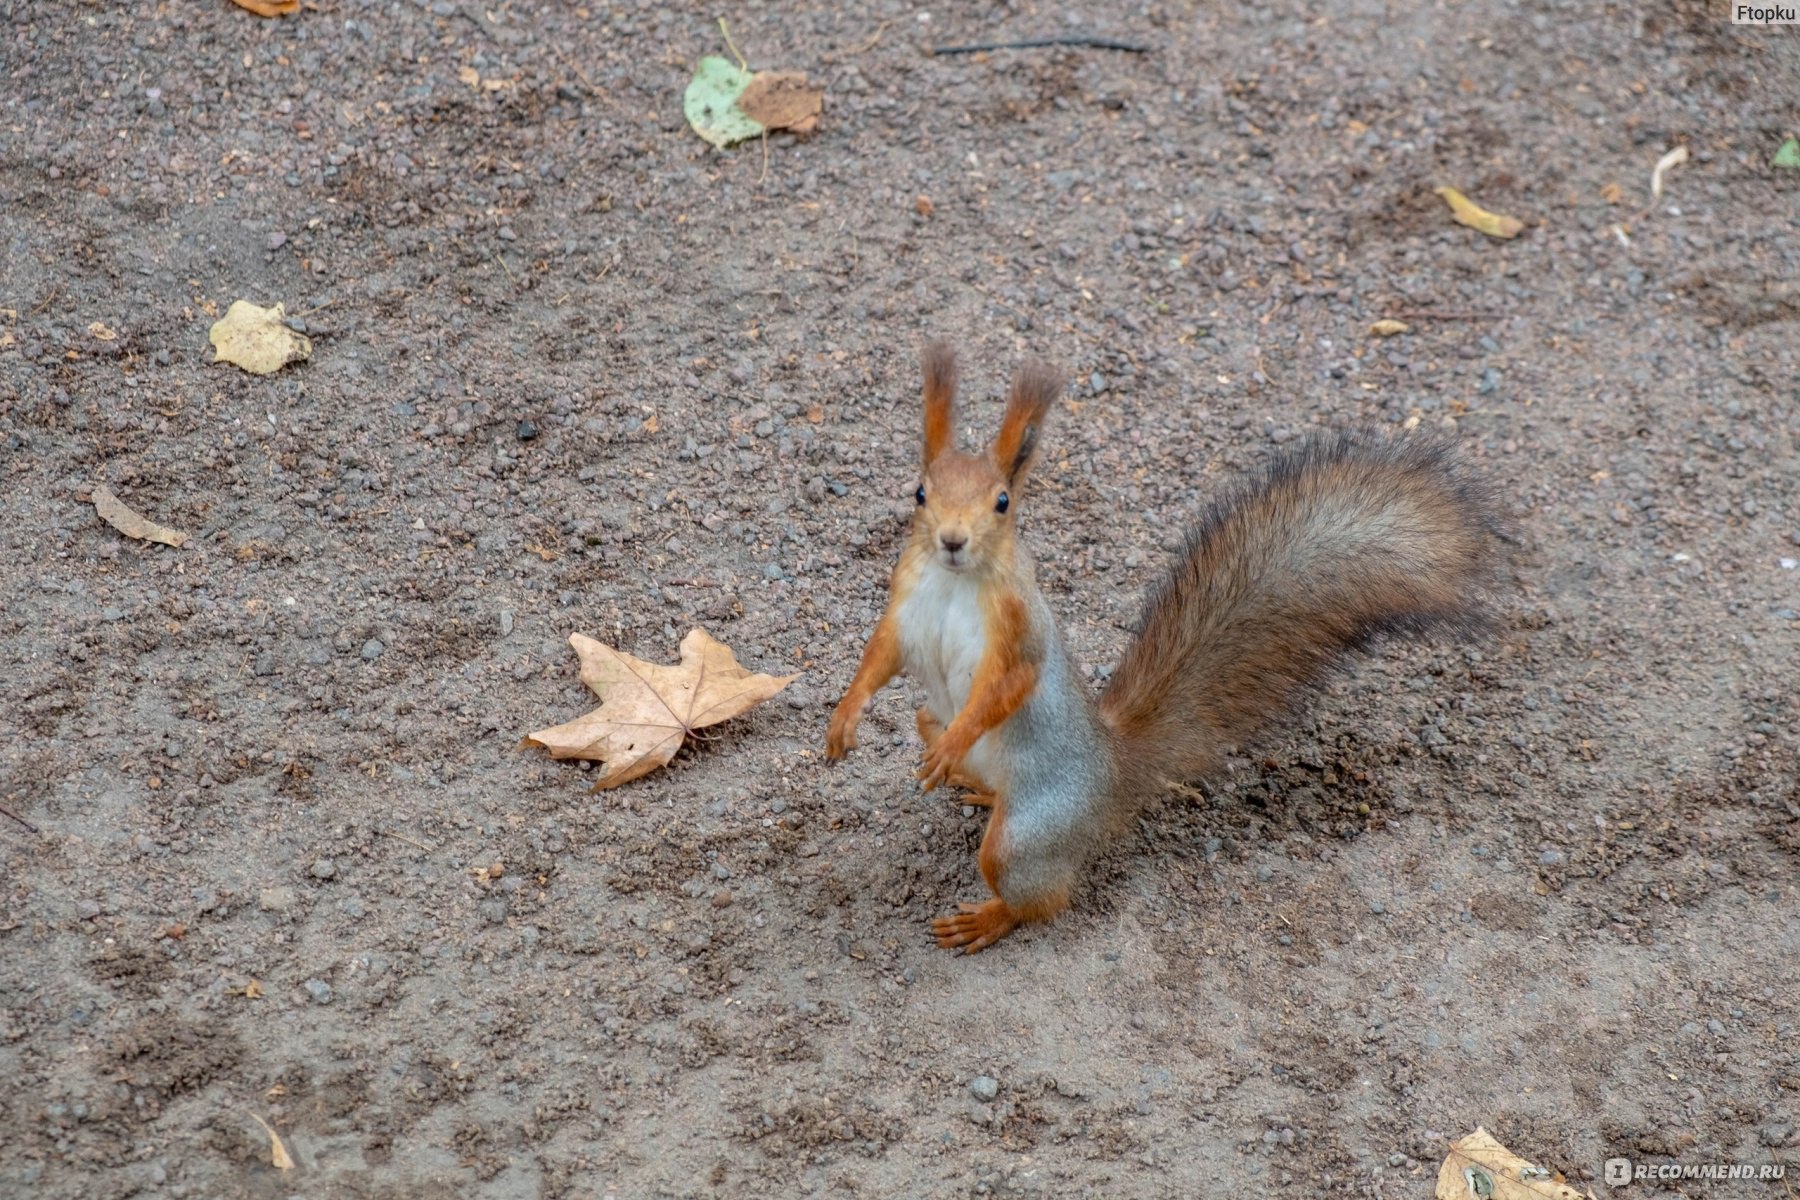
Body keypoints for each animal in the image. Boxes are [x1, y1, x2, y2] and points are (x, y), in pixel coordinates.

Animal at [824, 340, 1497, 957]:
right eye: (919, 493)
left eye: (1003, 502)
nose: (952, 540)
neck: (953, 581)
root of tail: (1114, 773)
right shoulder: (903, 603)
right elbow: (879, 656)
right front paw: (843, 719)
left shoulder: (1018, 630)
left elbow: (1010, 684)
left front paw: (950, 739)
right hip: (932, 722)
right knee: (939, 735)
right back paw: (976, 785)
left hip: (1026, 837)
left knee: (1041, 896)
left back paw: (988, 914)